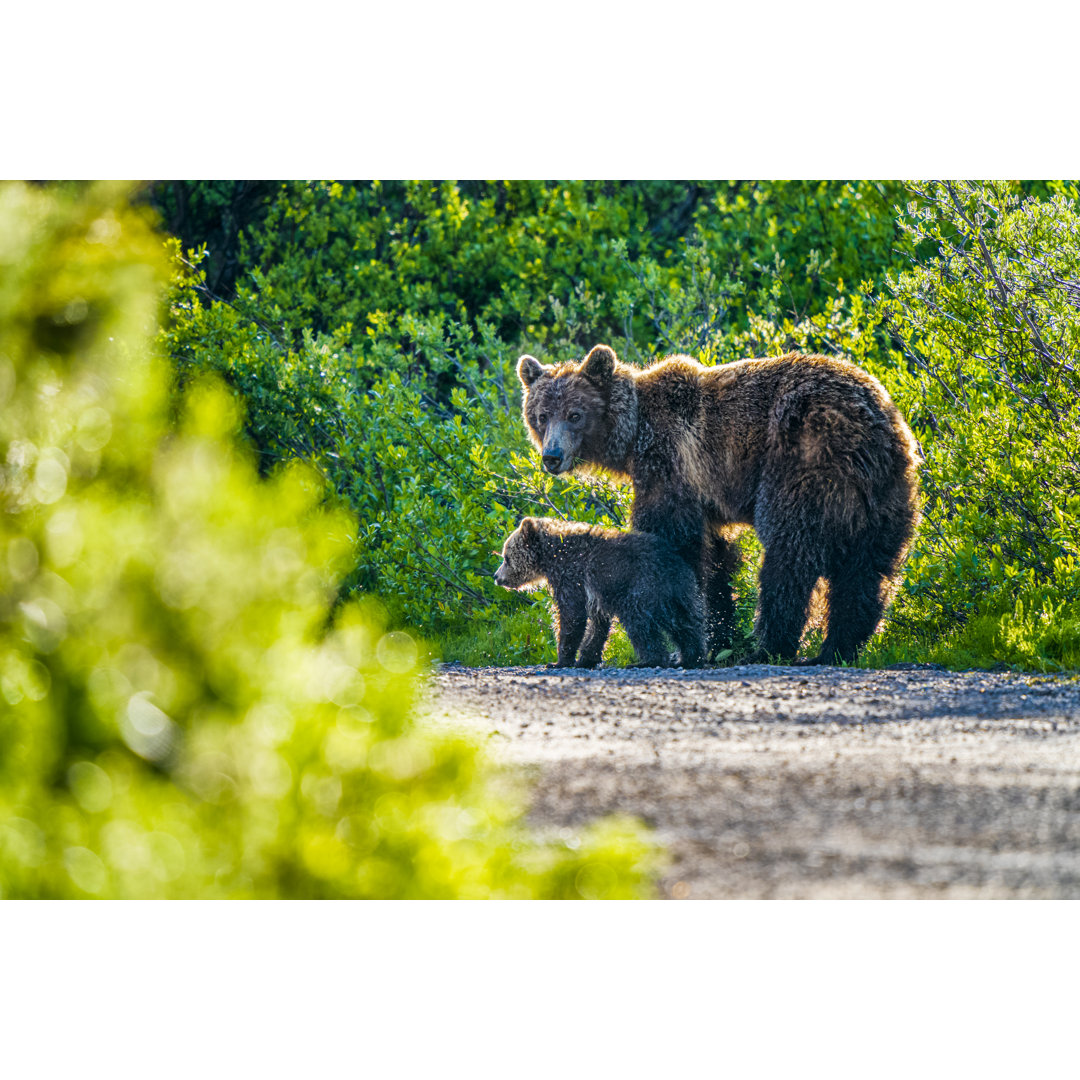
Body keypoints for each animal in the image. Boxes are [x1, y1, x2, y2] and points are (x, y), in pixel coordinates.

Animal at [516, 345, 920, 665]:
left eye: (575, 414)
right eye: (541, 416)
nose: (552, 456)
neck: (632, 438)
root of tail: (870, 423)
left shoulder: (670, 465)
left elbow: (673, 545)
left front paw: (686, 646)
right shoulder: (707, 499)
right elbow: (716, 563)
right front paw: (719, 634)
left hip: (803, 462)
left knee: (789, 554)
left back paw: (769, 646)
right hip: (884, 494)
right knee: (867, 570)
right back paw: (836, 649)